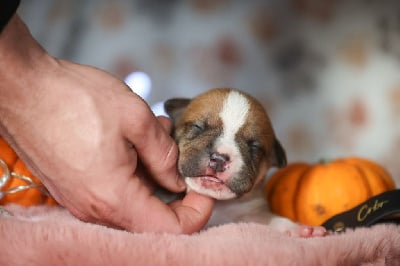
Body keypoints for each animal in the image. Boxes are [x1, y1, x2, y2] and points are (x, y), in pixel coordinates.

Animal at [164, 88, 326, 237]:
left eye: (253, 146)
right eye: (198, 127)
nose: (220, 159)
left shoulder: (252, 214)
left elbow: (272, 220)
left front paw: (299, 229)